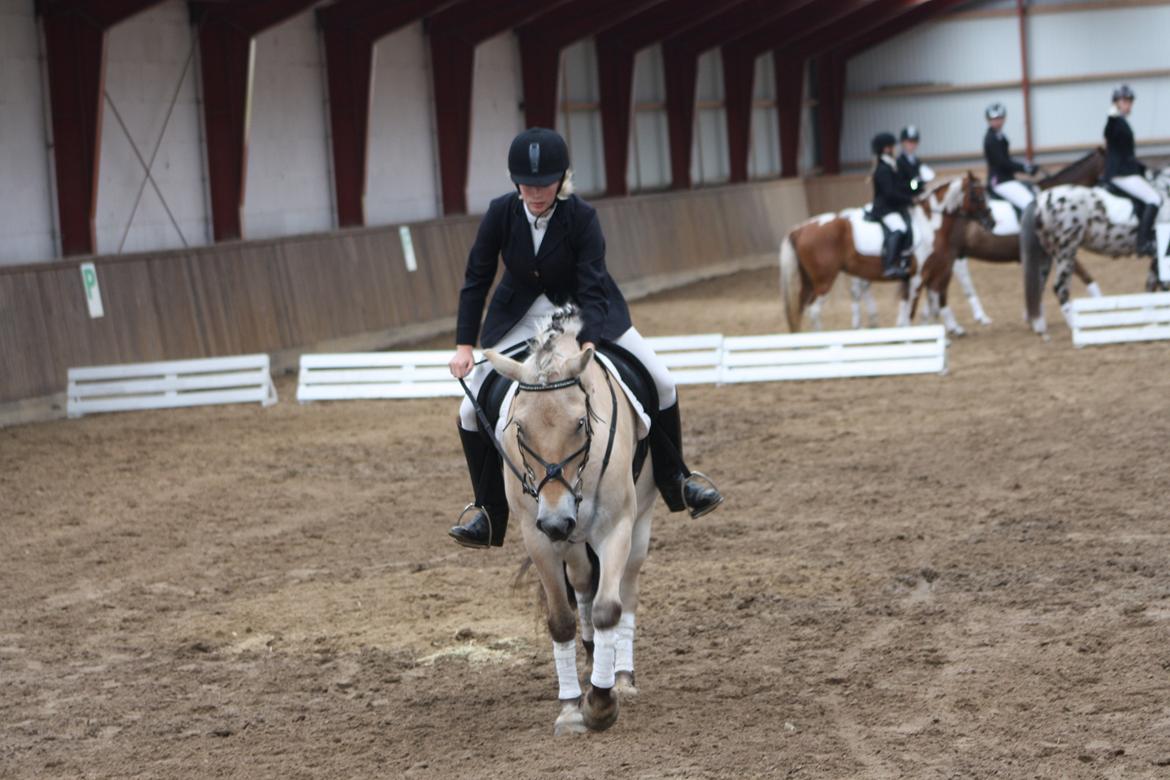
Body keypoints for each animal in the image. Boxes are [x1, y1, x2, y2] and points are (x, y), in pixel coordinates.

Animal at [479, 308, 655, 734]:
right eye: (519, 428)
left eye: (579, 423)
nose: (558, 519)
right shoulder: (538, 536)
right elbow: (561, 619)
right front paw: (571, 706)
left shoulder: (615, 528)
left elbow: (609, 609)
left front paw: (602, 704)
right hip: (571, 543)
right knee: (582, 582)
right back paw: (591, 656)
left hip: (639, 525)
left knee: (626, 591)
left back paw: (621, 677)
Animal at [1024, 164, 1170, 336]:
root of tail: (1039, 200)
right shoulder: (1160, 255)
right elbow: (1160, 287)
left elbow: (1151, 287)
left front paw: (1151, 322)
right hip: (1066, 250)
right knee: (1060, 287)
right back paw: (1074, 327)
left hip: (1047, 253)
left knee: (1039, 287)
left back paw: (1039, 326)